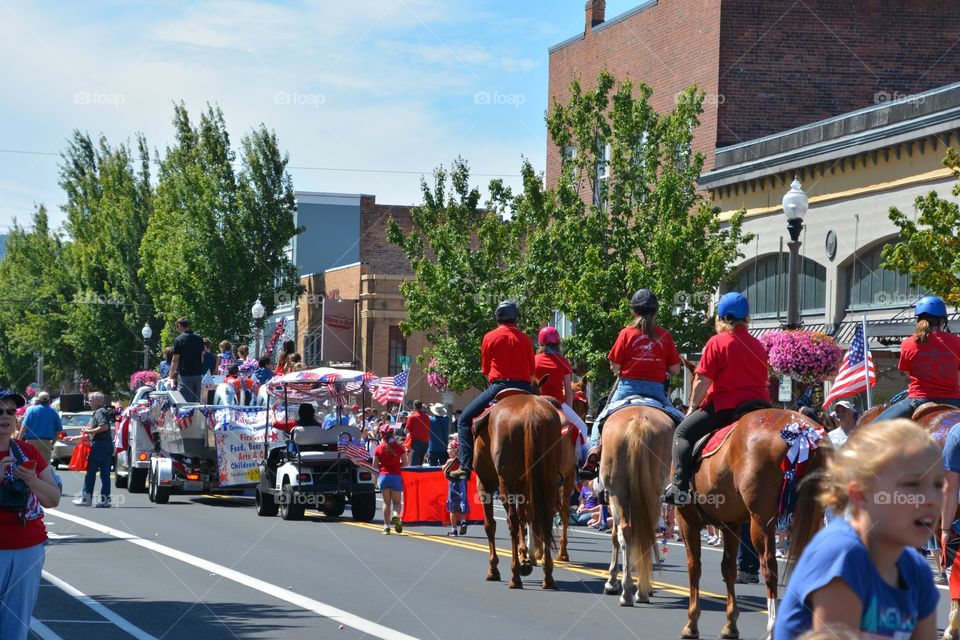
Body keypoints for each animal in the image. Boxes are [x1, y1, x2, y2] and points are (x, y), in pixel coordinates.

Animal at [472, 390, 564, 592]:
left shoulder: (485, 484)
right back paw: (548, 576)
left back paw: (515, 577)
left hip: (505, 482)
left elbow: (490, 524)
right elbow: (525, 520)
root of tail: (531, 411)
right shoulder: (524, 488)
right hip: (548, 479)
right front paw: (525, 560)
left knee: (511, 521)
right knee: (545, 518)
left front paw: (494, 569)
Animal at [596, 404, 672, 604]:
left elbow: (615, 537)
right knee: (644, 533)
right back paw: (638, 591)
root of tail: (638, 422)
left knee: (626, 533)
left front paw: (612, 582)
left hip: (618, 492)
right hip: (651, 494)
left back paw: (629, 592)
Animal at [672, 410, 828, 640]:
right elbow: (728, 568)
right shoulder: (731, 525)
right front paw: (730, 625)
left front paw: (691, 624)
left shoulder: (687, 520)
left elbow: (694, 566)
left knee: (769, 566)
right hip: (811, 517)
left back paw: (773, 627)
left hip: (761, 521)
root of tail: (802, 431)